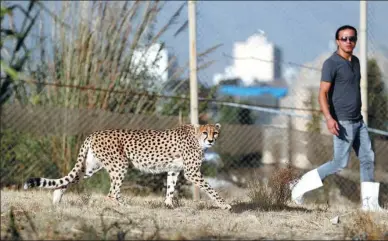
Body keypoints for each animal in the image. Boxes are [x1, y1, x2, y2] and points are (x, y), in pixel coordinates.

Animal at [23, 123, 230, 210]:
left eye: (215, 132)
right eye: (205, 132)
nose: (211, 140)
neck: (196, 137)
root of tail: (94, 133)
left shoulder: (174, 169)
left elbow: (170, 188)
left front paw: (168, 205)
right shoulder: (192, 172)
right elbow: (210, 189)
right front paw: (225, 205)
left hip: (89, 167)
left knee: (68, 180)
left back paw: (56, 199)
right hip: (119, 164)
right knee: (111, 193)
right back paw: (126, 207)